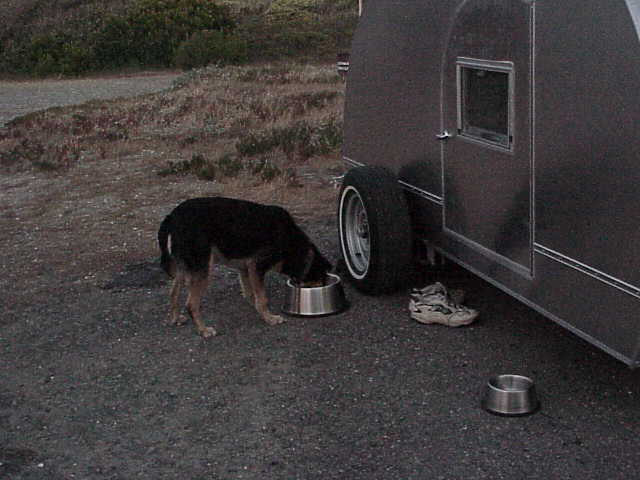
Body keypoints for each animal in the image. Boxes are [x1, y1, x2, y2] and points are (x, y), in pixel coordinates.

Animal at [158, 197, 332, 337]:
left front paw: (261, 313)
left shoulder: (245, 269)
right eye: (321, 279)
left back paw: (176, 318)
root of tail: (172, 217)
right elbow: (262, 298)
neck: (292, 243)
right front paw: (270, 319)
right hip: (202, 269)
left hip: (184, 266)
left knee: (173, 293)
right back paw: (204, 330)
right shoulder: (257, 266)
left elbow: (252, 295)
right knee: (191, 304)